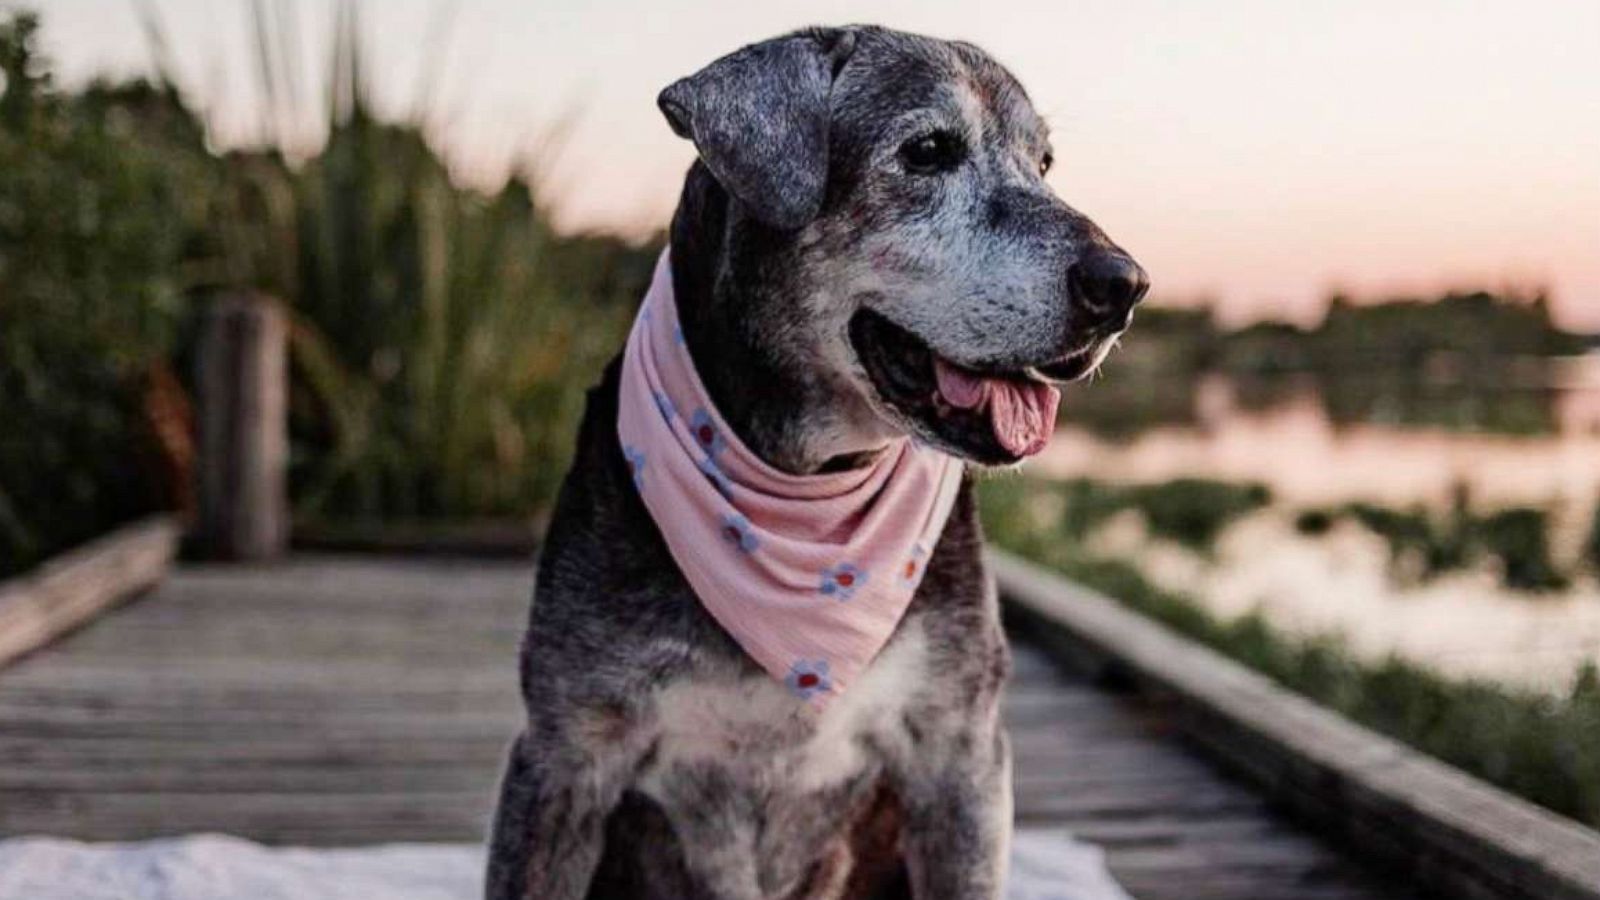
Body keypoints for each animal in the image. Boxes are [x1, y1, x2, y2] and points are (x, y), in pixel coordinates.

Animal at [486, 24, 1152, 890]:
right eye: (929, 151)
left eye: (1041, 163)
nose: (1124, 283)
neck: (808, 489)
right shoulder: (564, 755)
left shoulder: (961, 751)